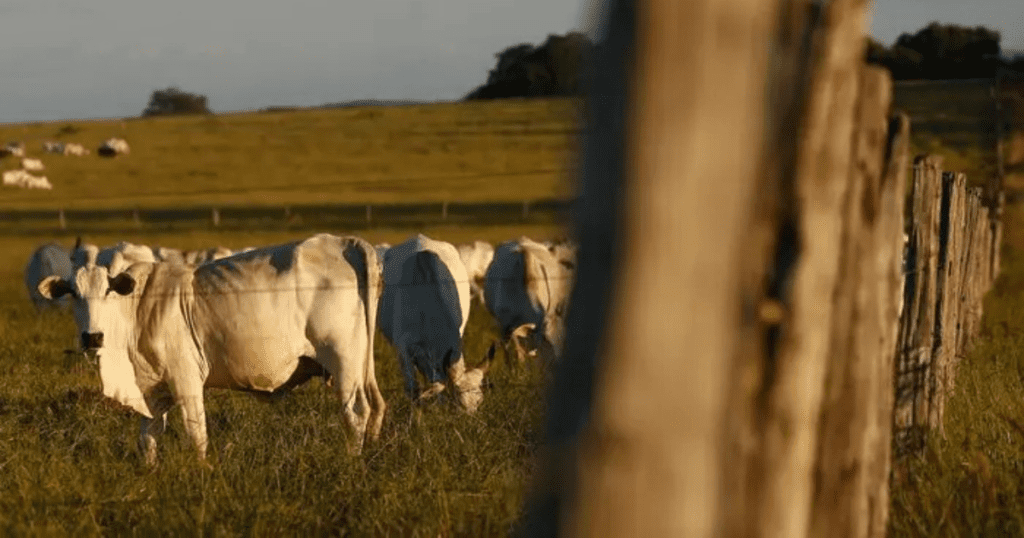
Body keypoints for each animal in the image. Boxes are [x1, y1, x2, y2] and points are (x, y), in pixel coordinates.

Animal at [37, 232, 385, 463]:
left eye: (108, 291)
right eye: (73, 293)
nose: (93, 337)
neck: (137, 310)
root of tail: (346, 243)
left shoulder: (186, 379)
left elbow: (197, 434)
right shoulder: (153, 389)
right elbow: (147, 438)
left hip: (343, 360)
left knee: (356, 412)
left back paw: (352, 462)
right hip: (360, 366)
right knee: (375, 406)